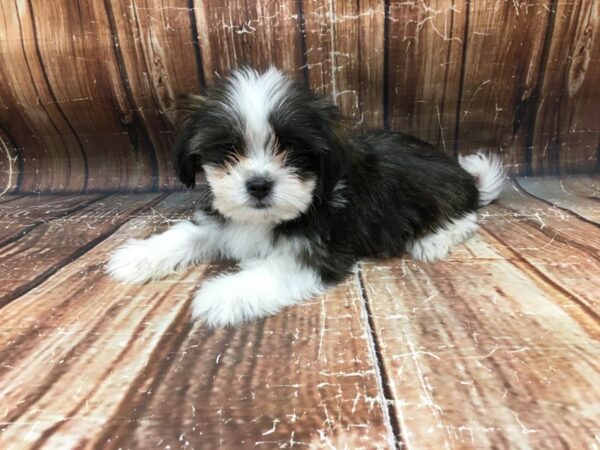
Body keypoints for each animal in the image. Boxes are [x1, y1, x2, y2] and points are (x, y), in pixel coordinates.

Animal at [105, 67, 504, 326]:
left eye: (294, 151)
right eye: (228, 149)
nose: (259, 184)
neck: (268, 219)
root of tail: (464, 175)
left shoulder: (320, 250)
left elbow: (275, 270)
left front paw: (223, 294)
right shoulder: (226, 218)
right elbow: (190, 233)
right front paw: (138, 257)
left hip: (437, 193)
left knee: (466, 216)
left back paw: (433, 239)